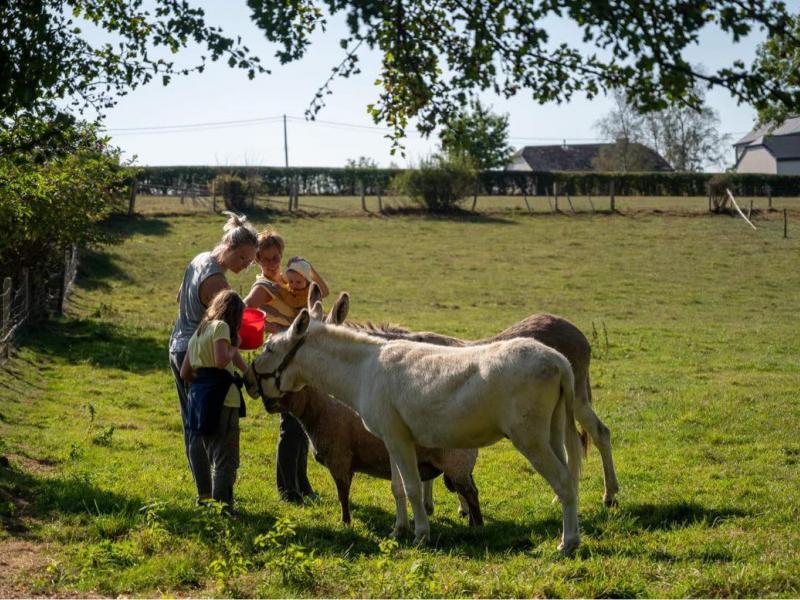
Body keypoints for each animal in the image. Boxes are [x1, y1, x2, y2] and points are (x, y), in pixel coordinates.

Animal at [248, 289, 584, 554]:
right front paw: (399, 530)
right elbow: (398, 488)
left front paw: (421, 534)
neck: (365, 369)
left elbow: (412, 488)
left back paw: (568, 543)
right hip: (552, 434)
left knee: (564, 481)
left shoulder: (398, 439)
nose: (248, 380)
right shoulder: (391, 439)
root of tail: (558, 361)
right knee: (570, 477)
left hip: (530, 439)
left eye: (269, 347)